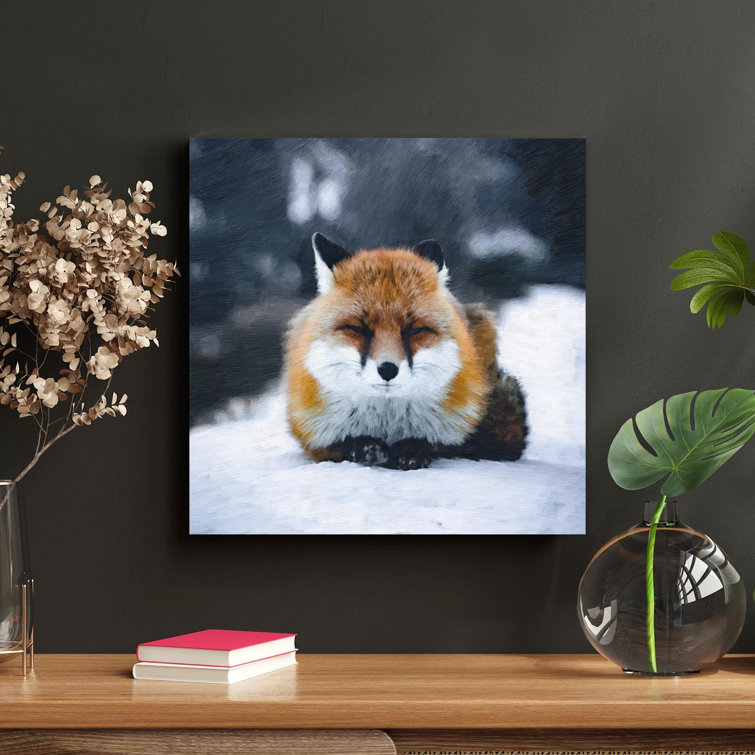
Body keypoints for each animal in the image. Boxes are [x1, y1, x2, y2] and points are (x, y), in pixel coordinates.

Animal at [284, 233, 528, 470]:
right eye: (357, 328)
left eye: (415, 329)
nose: (387, 369)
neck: (387, 423)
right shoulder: (312, 437)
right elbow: (342, 444)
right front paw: (363, 447)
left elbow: (438, 443)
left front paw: (412, 450)